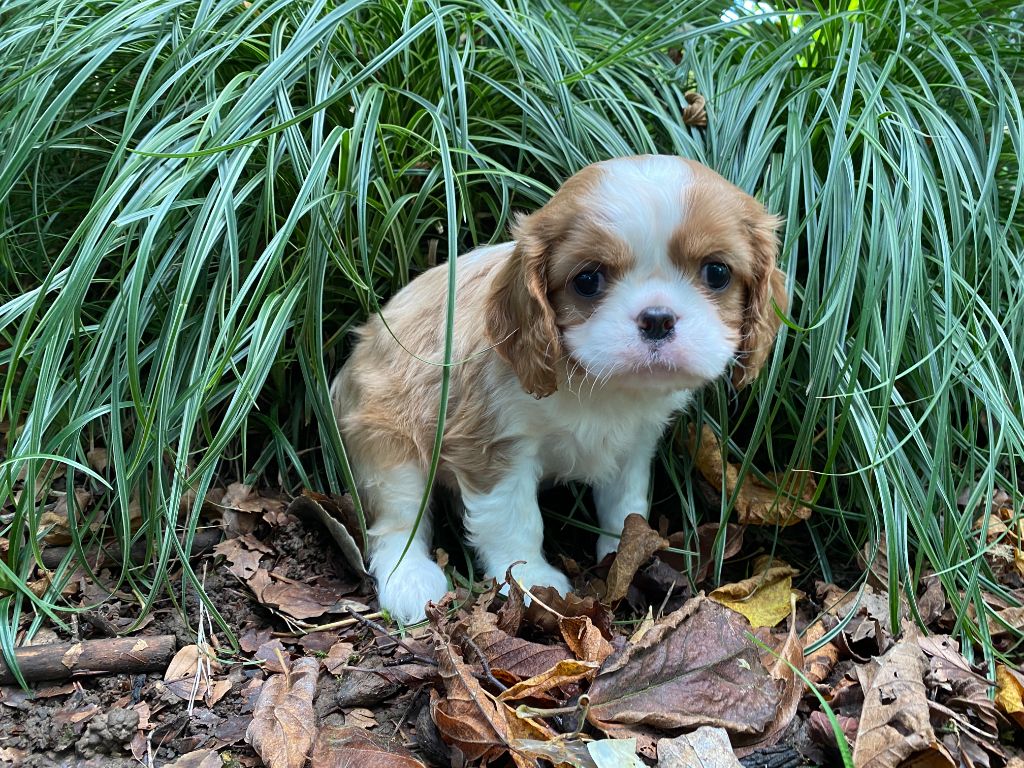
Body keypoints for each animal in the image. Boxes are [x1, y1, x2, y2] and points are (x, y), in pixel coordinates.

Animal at [331, 156, 786, 626]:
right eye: (587, 280)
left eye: (717, 273)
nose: (658, 318)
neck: (596, 384)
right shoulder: (491, 446)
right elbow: (515, 520)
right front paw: (531, 583)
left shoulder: (635, 445)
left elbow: (626, 505)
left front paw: (627, 557)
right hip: (387, 445)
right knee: (396, 524)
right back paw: (410, 579)